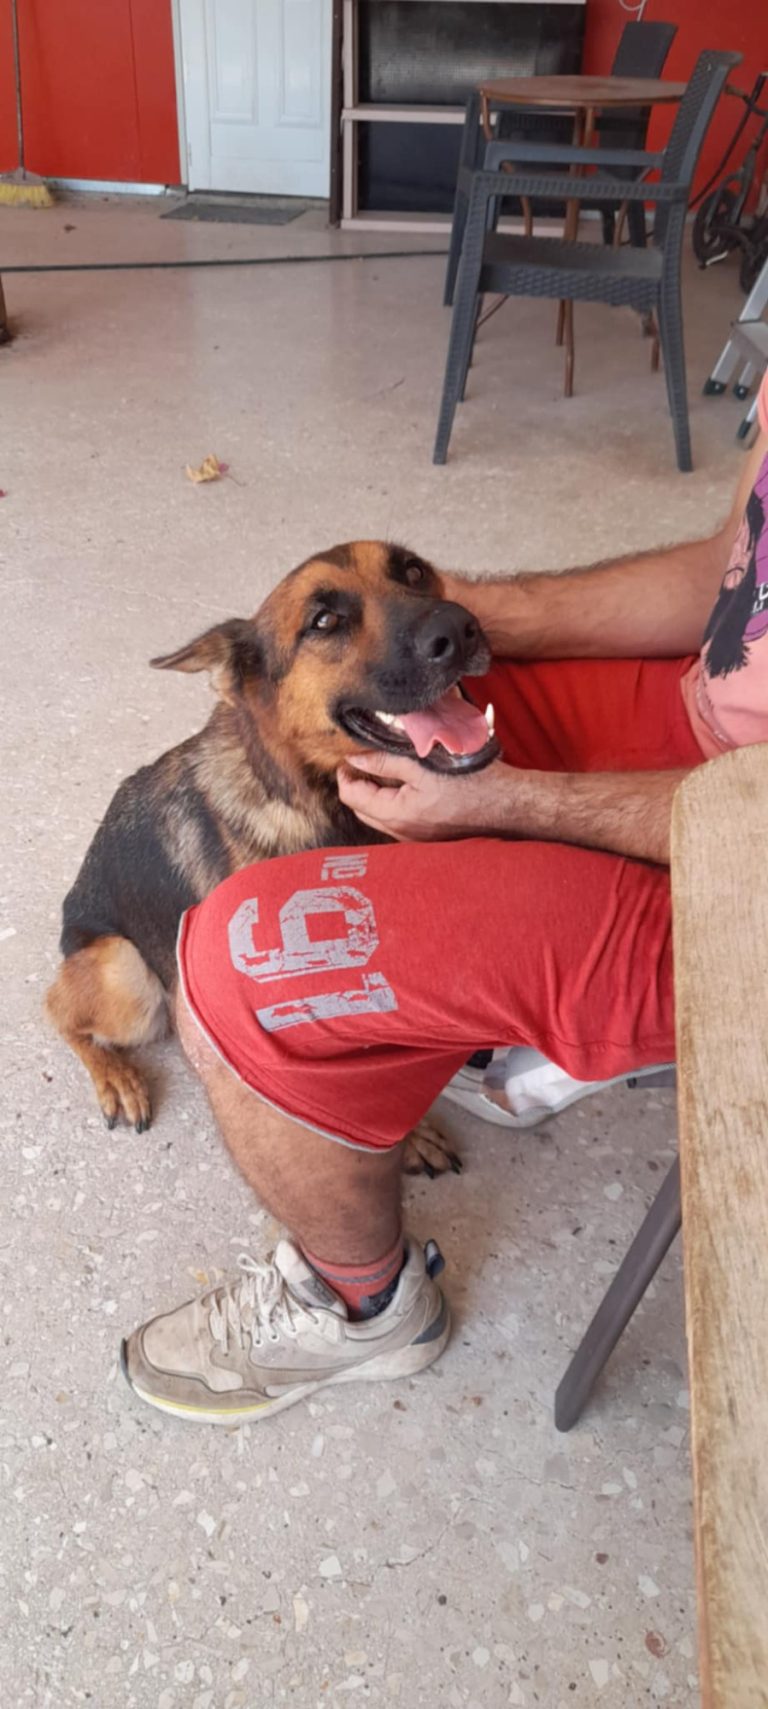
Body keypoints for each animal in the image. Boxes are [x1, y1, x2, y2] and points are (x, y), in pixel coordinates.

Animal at [45, 541, 499, 1173]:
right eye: (324, 622)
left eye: (413, 570)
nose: (458, 629)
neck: (318, 802)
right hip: (125, 972)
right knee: (58, 1011)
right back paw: (116, 1076)